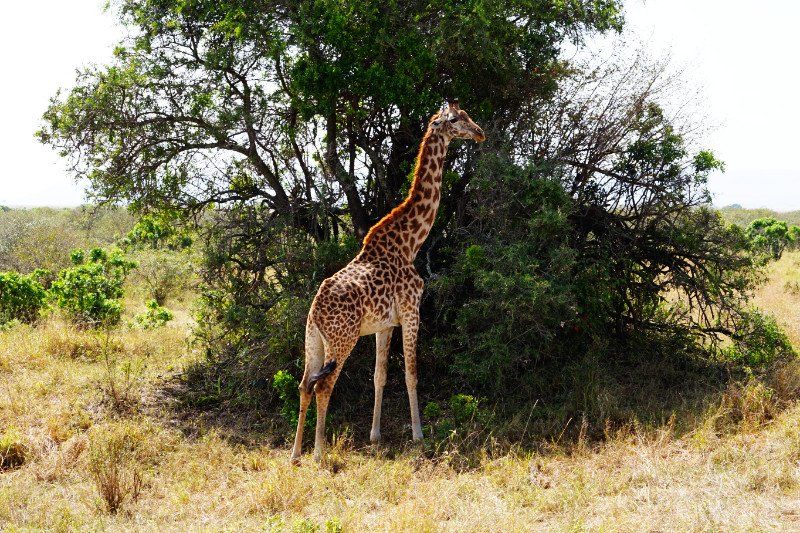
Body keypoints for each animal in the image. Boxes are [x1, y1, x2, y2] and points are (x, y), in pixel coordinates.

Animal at [290, 100, 485, 464]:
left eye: (467, 115)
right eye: (454, 120)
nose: (479, 132)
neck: (411, 243)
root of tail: (317, 310)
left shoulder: (384, 325)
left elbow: (379, 377)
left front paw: (375, 436)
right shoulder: (411, 313)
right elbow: (411, 374)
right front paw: (419, 436)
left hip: (314, 341)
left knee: (304, 385)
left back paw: (295, 453)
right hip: (342, 340)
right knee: (323, 386)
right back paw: (318, 453)